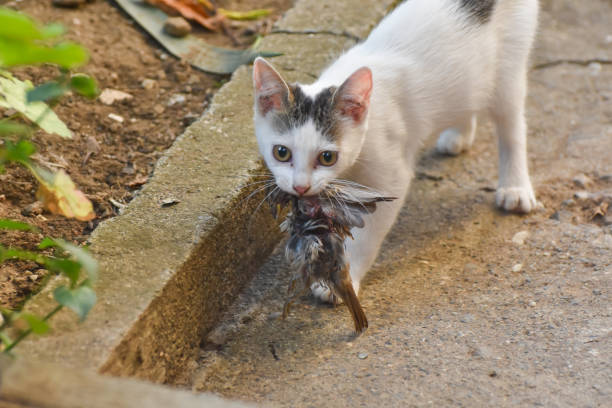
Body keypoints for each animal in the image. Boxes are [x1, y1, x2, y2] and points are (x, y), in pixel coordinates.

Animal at [251, 0, 536, 300]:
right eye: (281, 152)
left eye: (327, 157)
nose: (300, 187)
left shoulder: (391, 174)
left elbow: (367, 236)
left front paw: (347, 279)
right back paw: (459, 134)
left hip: (509, 67)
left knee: (512, 125)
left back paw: (515, 187)